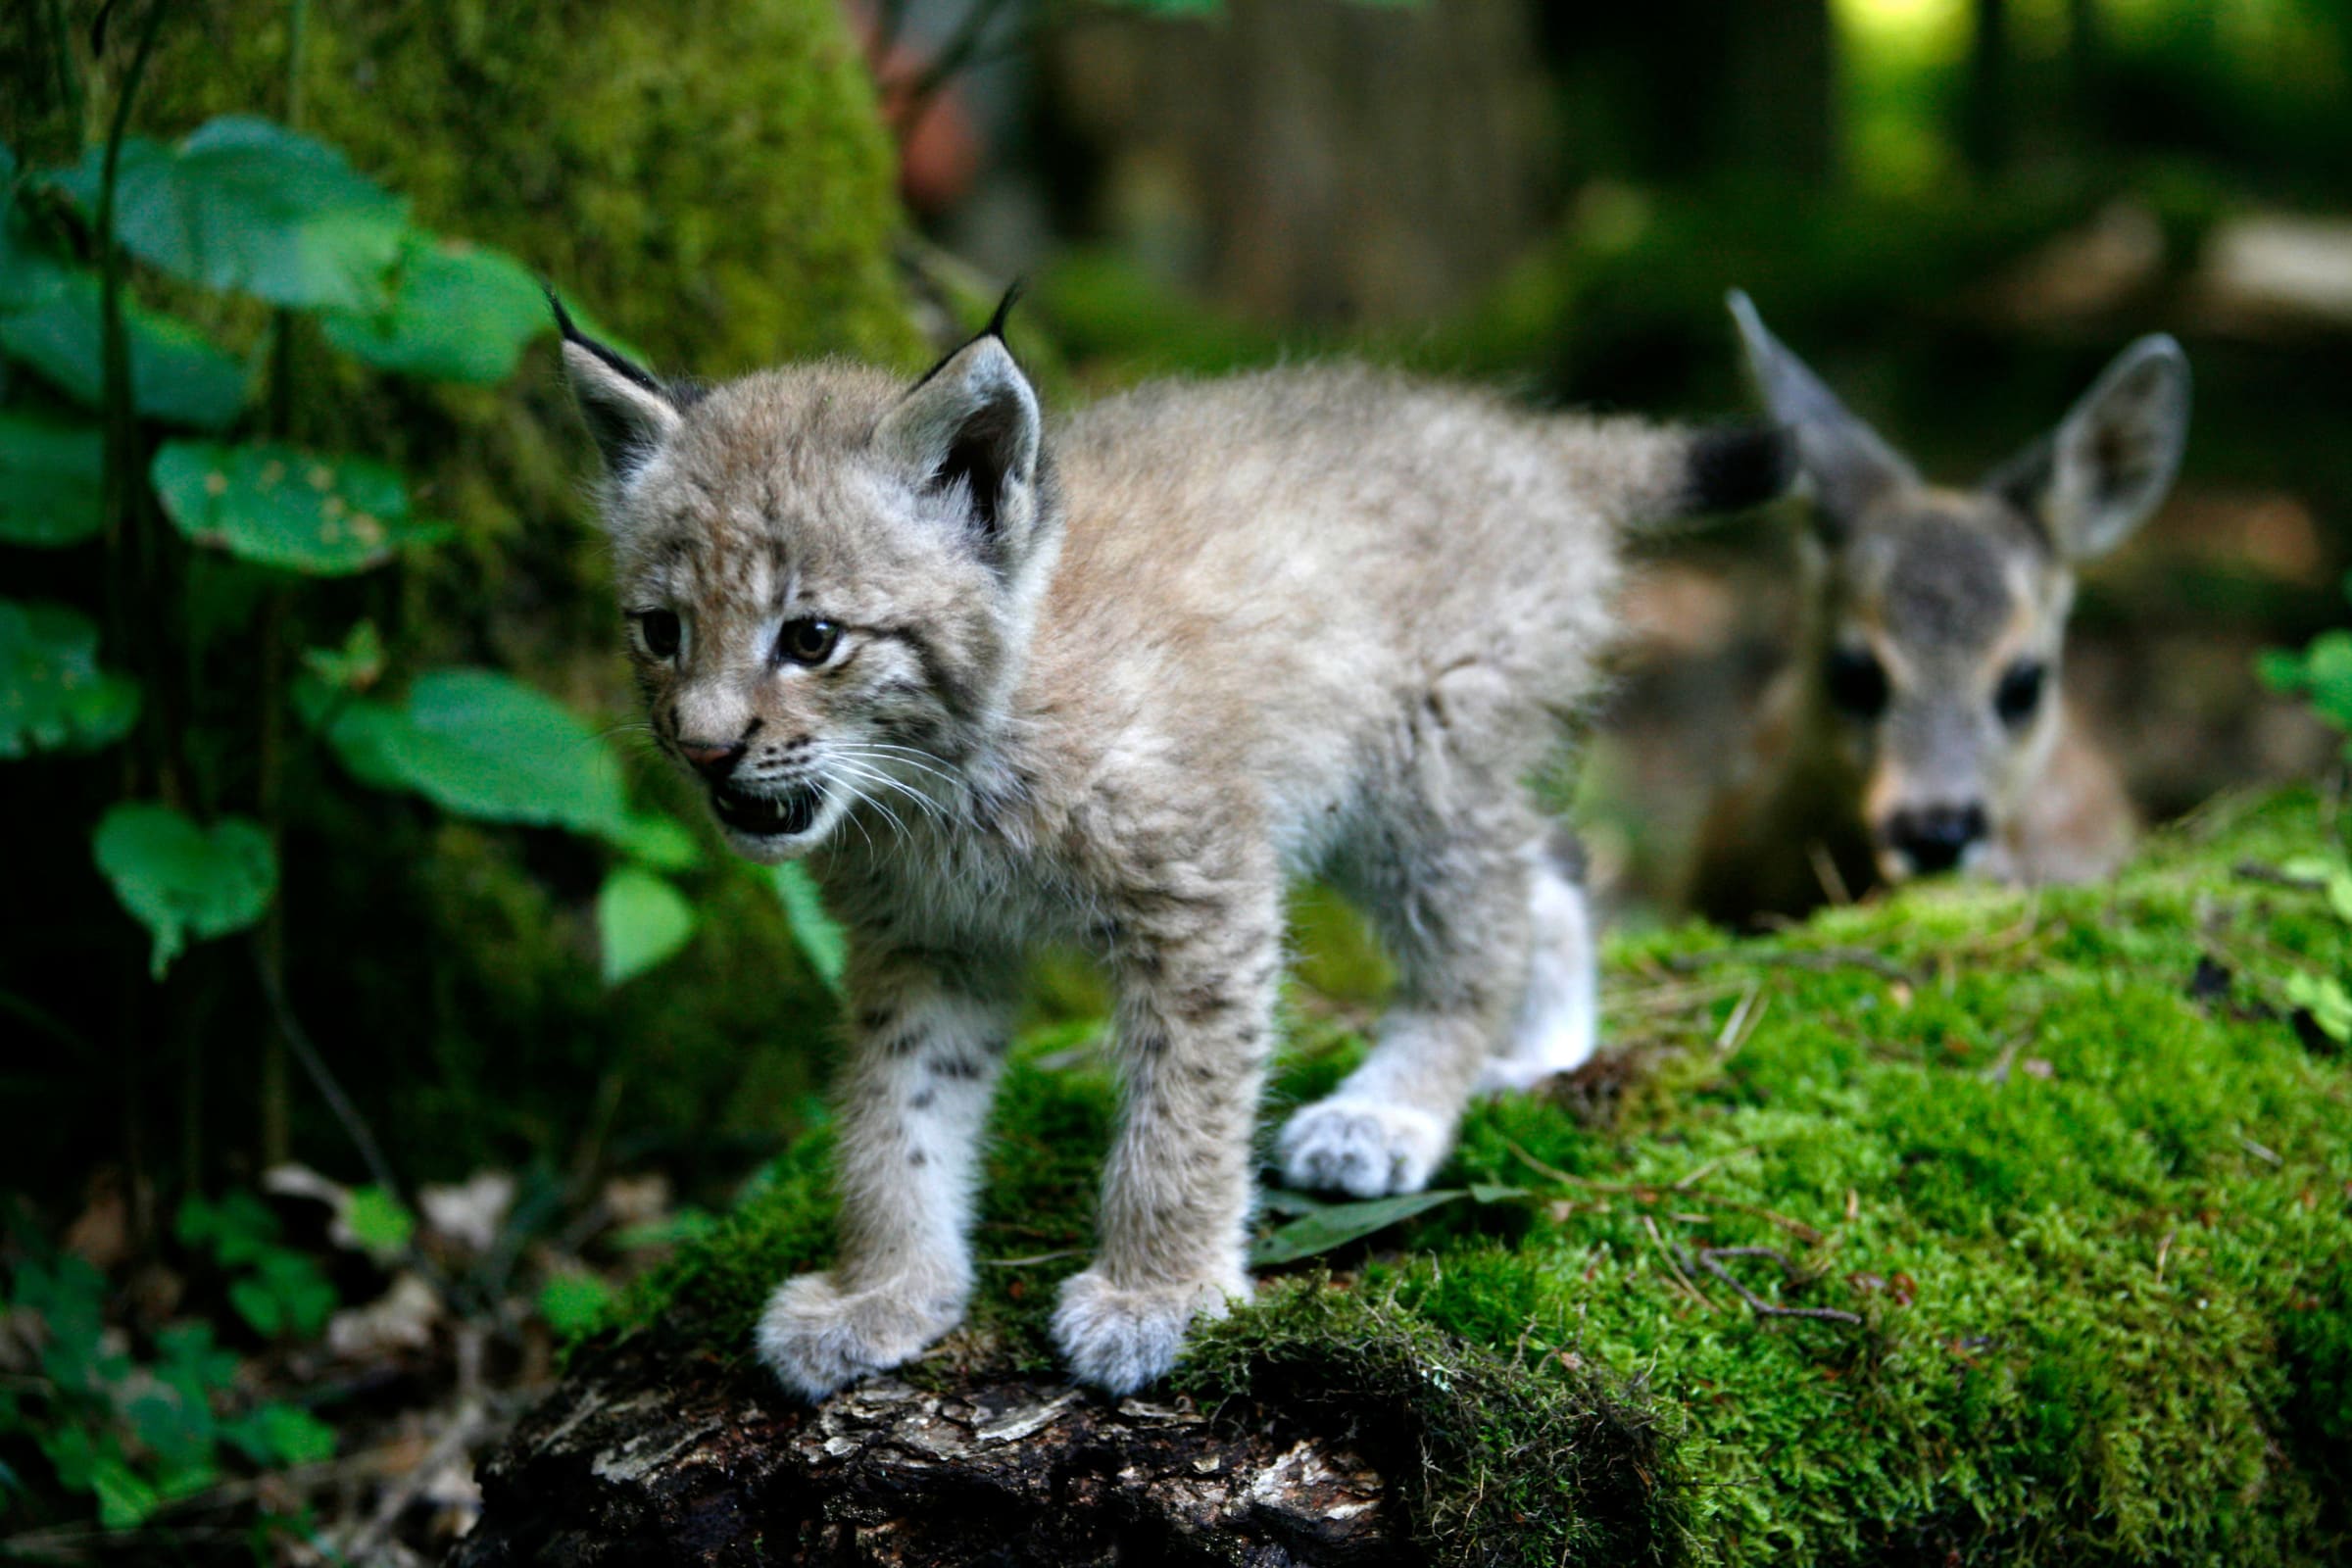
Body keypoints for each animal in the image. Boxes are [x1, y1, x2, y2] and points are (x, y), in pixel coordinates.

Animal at [555, 297, 1778, 1400]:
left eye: (812, 639)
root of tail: (1520, 437)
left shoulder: (1199, 897)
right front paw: (884, 1290)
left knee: (1478, 931)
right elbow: (894, 1118)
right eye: (660, 631)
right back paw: (1547, 1048)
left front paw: (1162, 1294)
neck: (942, 780)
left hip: (1420, 767)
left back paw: (1395, 1110)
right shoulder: (926, 945)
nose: (704, 749)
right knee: (1549, 865)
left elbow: (1180, 1118)